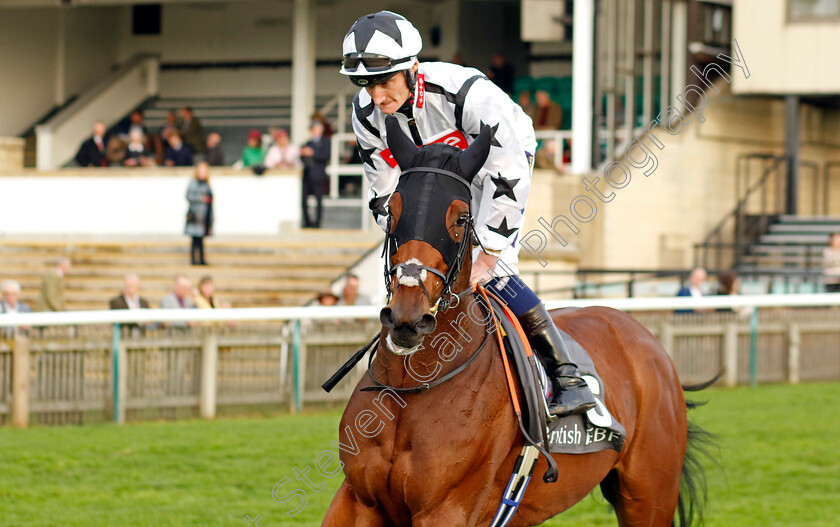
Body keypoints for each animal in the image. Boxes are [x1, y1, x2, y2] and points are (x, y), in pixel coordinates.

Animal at [322, 116, 708, 527]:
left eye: (461, 217)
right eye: (393, 210)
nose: (407, 317)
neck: (410, 389)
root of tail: (646, 339)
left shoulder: (446, 509)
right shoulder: (357, 500)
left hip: (648, 495)